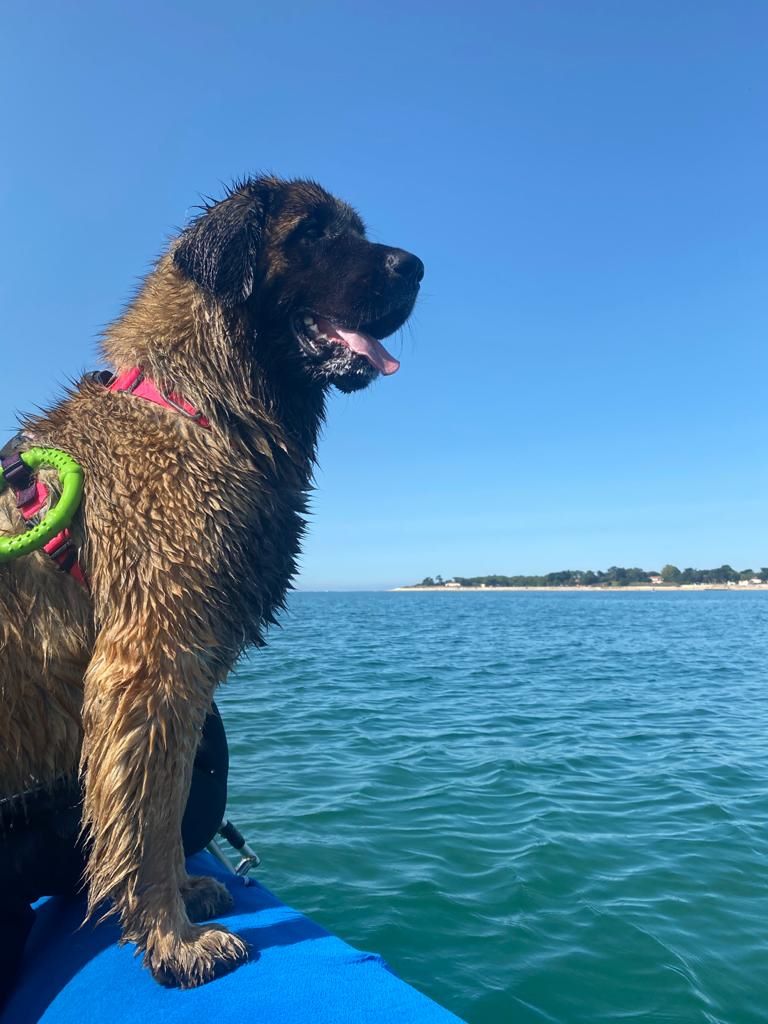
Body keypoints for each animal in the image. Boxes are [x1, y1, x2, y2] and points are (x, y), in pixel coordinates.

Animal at [0, 176, 423, 987]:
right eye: (314, 231)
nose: (415, 267)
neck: (201, 402)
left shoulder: (176, 677)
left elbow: (163, 818)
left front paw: (186, 897)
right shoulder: (152, 665)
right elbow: (146, 815)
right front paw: (172, 940)